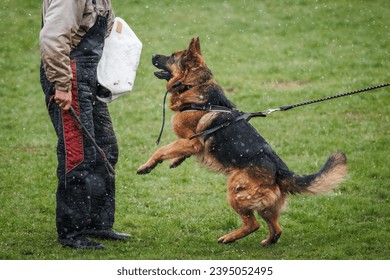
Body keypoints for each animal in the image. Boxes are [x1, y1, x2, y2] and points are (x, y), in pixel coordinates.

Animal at [137, 37, 348, 245]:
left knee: (252, 224)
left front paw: (146, 166)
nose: (152, 54)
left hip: (234, 190)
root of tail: (281, 170)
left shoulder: (191, 141)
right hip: (264, 205)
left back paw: (229, 238)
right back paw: (267, 241)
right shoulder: (189, 144)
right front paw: (175, 161)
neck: (194, 87)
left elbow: (161, 150)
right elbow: (174, 150)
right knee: (276, 228)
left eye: (172, 56)